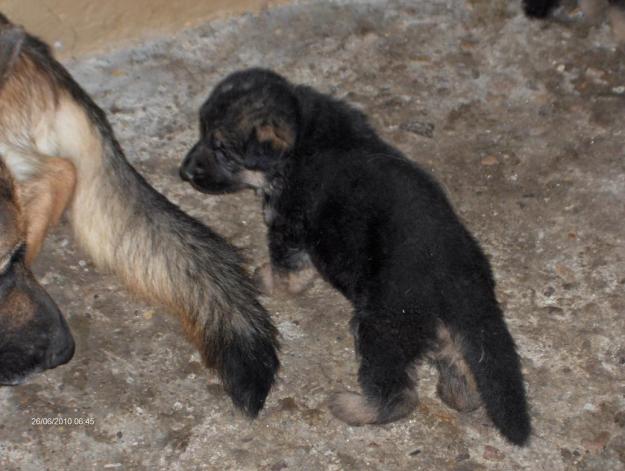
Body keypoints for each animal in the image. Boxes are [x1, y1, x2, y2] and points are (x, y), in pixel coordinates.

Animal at [180, 69, 532, 446]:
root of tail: (459, 276)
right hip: (439, 326)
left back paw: (353, 407)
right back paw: (460, 395)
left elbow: (287, 270)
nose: (184, 171)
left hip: (383, 327)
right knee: (459, 357)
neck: (304, 131)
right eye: (202, 132)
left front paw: (269, 282)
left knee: (399, 395)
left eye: (222, 150)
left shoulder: (287, 226)